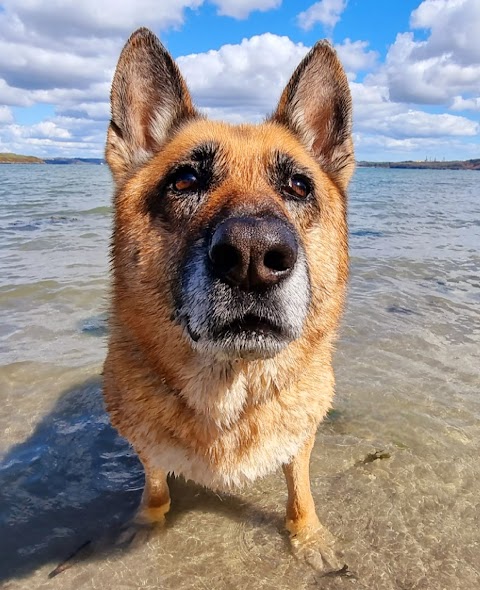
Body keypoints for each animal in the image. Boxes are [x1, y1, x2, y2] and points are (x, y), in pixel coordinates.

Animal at [104, 26, 352, 572]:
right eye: (185, 180)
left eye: (298, 186)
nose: (253, 257)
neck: (230, 395)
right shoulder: (145, 447)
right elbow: (155, 484)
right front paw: (147, 523)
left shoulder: (300, 439)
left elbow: (299, 488)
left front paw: (308, 536)